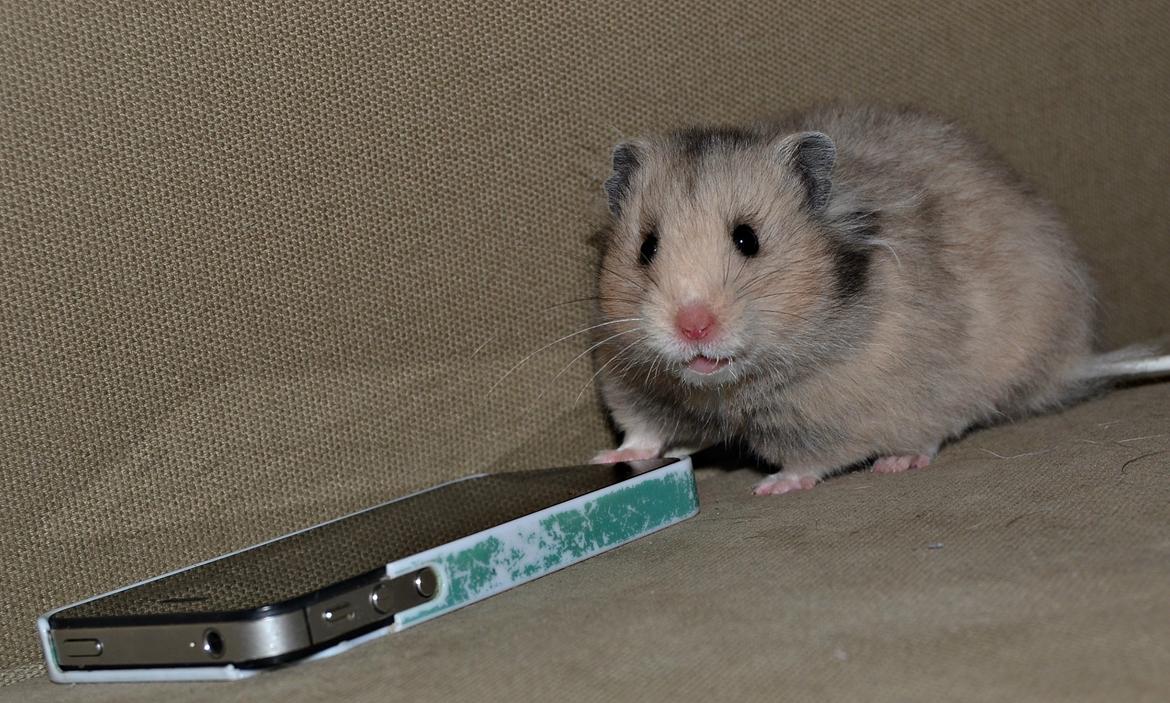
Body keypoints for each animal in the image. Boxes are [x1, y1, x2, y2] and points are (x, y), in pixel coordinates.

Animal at [590, 104, 1108, 495]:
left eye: (747, 239)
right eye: (647, 247)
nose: (693, 327)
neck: (724, 392)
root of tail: (1070, 360)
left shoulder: (835, 416)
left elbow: (811, 459)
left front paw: (771, 486)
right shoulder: (631, 380)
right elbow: (642, 431)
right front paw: (608, 456)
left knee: (942, 426)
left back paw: (897, 462)